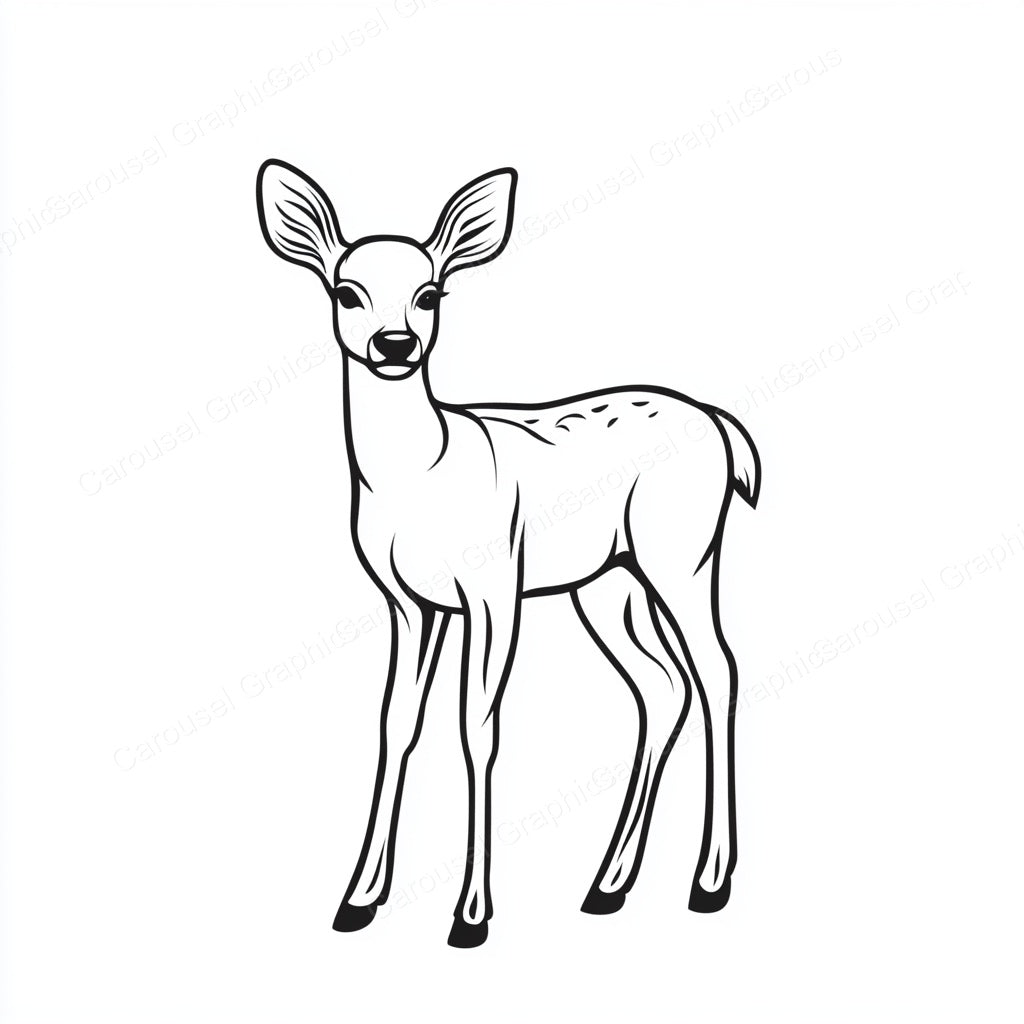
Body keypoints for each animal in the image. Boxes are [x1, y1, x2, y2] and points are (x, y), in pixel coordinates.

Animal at [255, 160, 761, 948]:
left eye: (431, 292)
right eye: (345, 290)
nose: (395, 344)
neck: (422, 477)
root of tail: (721, 426)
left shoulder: (493, 585)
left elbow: (478, 728)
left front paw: (471, 915)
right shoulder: (409, 602)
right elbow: (397, 722)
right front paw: (358, 899)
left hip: (681, 551)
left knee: (718, 671)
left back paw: (708, 884)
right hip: (608, 583)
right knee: (661, 688)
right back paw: (607, 885)